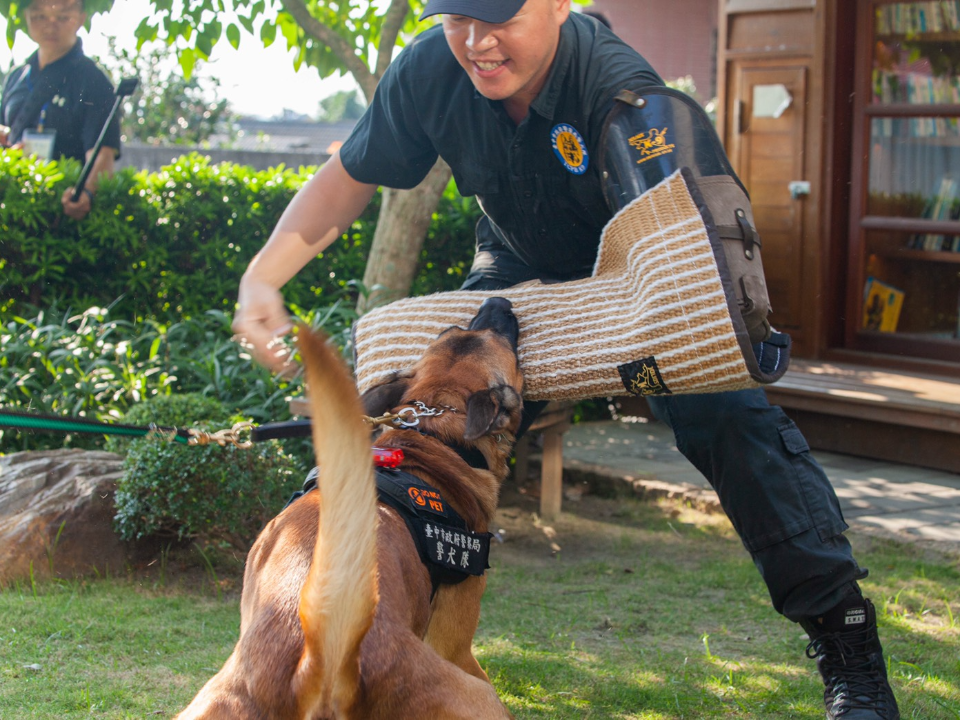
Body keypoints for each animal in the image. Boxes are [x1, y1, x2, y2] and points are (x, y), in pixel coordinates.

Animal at [180, 296, 524, 716]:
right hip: (477, 695)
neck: (434, 436)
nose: (497, 300)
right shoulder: (454, 638)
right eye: (504, 344)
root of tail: (324, 661)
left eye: (452, 330)